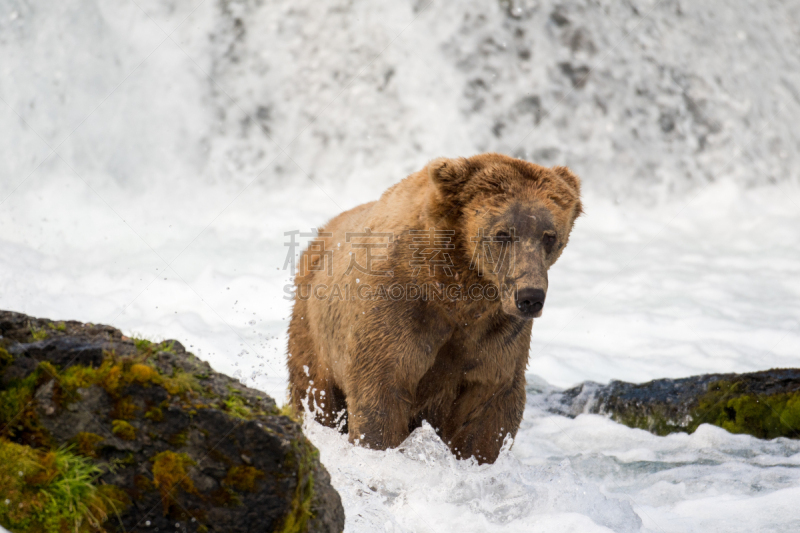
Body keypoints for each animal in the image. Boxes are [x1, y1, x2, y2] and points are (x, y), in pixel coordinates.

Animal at [288, 153, 580, 462]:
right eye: (502, 234)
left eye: (550, 236)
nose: (530, 297)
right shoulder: (399, 307)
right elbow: (381, 388)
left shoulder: (496, 332)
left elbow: (489, 407)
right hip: (314, 331)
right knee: (314, 394)